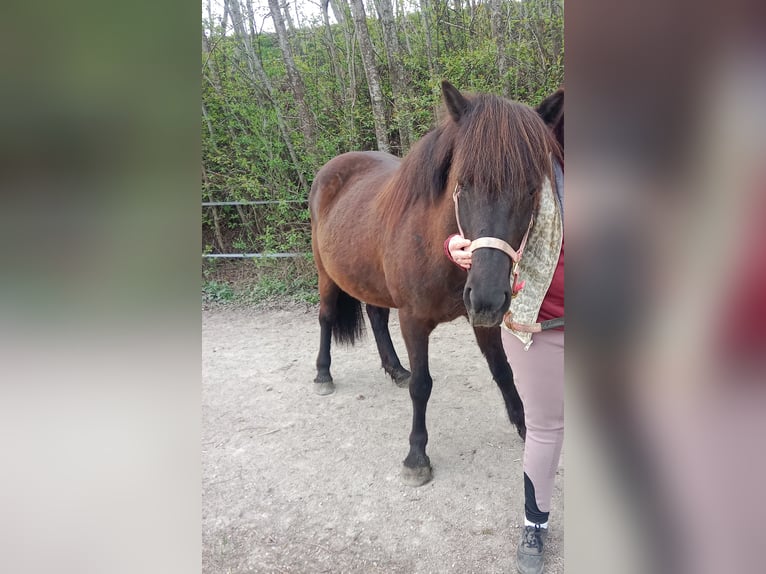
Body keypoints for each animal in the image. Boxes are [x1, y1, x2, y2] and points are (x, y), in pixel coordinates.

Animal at [309, 81, 562, 486]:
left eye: (530, 190)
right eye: (464, 183)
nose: (489, 297)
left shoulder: (482, 321)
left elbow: (503, 371)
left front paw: (525, 428)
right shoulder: (413, 320)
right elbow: (422, 385)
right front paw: (416, 455)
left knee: (376, 318)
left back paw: (395, 368)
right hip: (326, 274)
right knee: (327, 318)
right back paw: (323, 374)